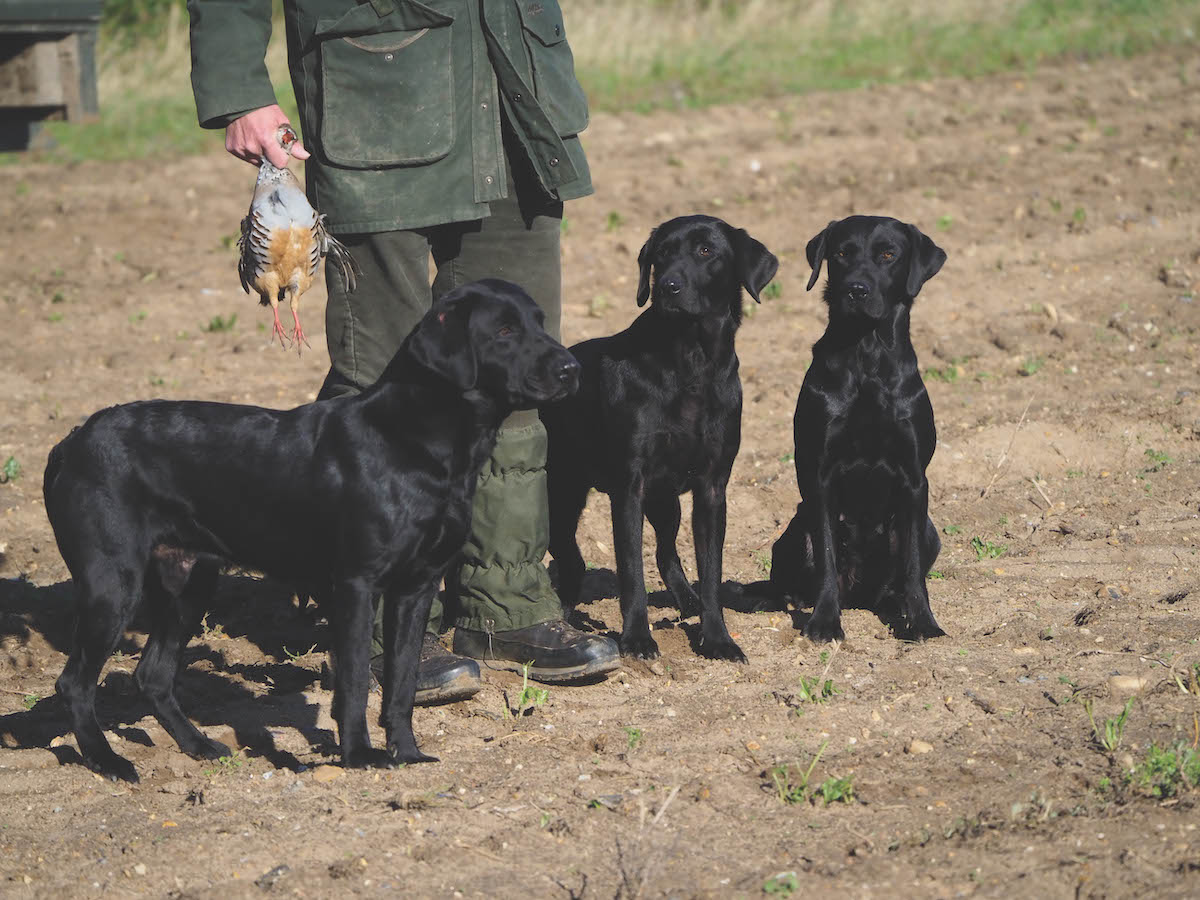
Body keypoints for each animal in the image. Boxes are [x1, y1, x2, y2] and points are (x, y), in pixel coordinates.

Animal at [49, 280, 583, 782]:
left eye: (539, 323)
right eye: (504, 331)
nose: (571, 368)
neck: (412, 439)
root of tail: (68, 443)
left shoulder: (416, 587)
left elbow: (403, 682)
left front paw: (406, 753)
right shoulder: (355, 585)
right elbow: (354, 680)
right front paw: (360, 756)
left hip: (189, 583)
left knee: (152, 676)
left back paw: (199, 746)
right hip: (112, 584)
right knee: (74, 683)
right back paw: (107, 761)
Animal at [544, 214, 777, 657]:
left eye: (706, 250)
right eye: (661, 255)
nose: (668, 286)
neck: (691, 359)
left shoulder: (712, 488)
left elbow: (711, 572)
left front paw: (717, 638)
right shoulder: (628, 487)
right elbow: (631, 572)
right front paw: (637, 637)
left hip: (665, 498)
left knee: (665, 552)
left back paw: (686, 600)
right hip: (560, 491)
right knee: (568, 556)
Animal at [772, 216, 950, 643]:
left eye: (888, 254)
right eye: (841, 253)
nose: (856, 289)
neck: (867, 353)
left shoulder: (914, 479)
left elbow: (913, 567)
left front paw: (923, 622)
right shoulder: (820, 477)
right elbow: (827, 557)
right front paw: (824, 622)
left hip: (929, 530)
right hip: (794, 531)